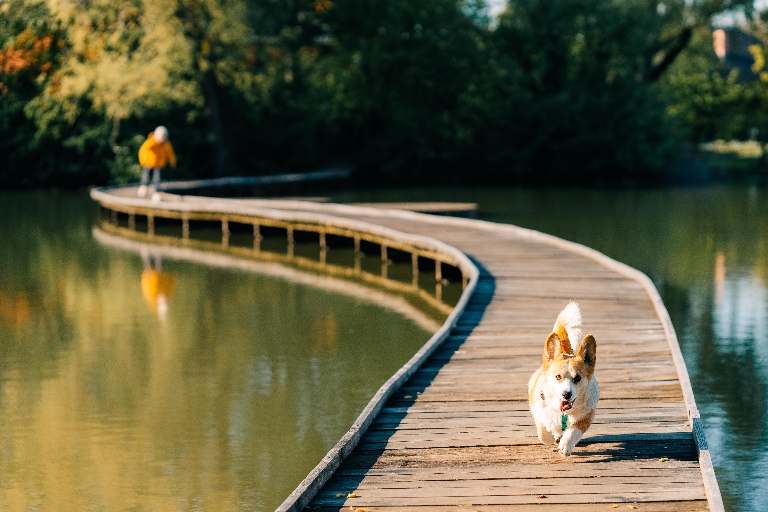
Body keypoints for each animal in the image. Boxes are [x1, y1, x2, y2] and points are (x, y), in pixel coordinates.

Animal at [528, 300, 600, 456]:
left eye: (577, 378)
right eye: (558, 376)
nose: (566, 394)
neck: (563, 413)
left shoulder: (585, 417)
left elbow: (573, 431)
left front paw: (565, 445)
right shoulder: (538, 412)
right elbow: (543, 433)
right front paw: (551, 437)